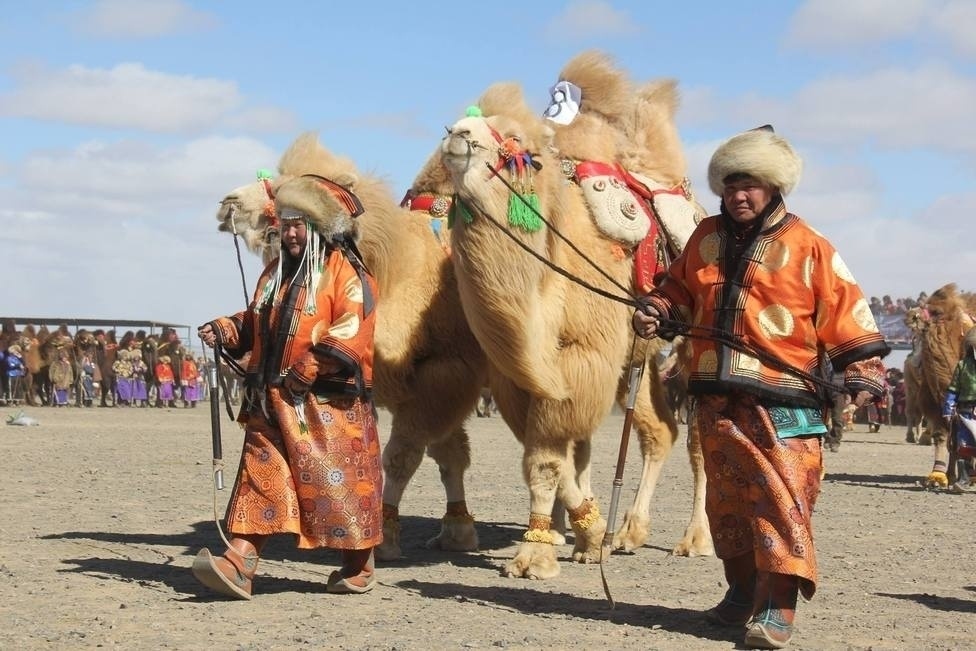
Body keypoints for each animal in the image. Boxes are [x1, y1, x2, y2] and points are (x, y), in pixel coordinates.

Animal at [438, 64, 711, 577]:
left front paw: (537, 555)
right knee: (659, 432)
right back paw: (628, 532)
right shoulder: (518, 378)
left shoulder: (583, 354)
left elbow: (548, 457)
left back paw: (695, 539)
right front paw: (585, 536)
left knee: (701, 441)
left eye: (513, 139)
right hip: (639, 358)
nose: (458, 134)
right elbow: (556, 455)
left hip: (695, 345)